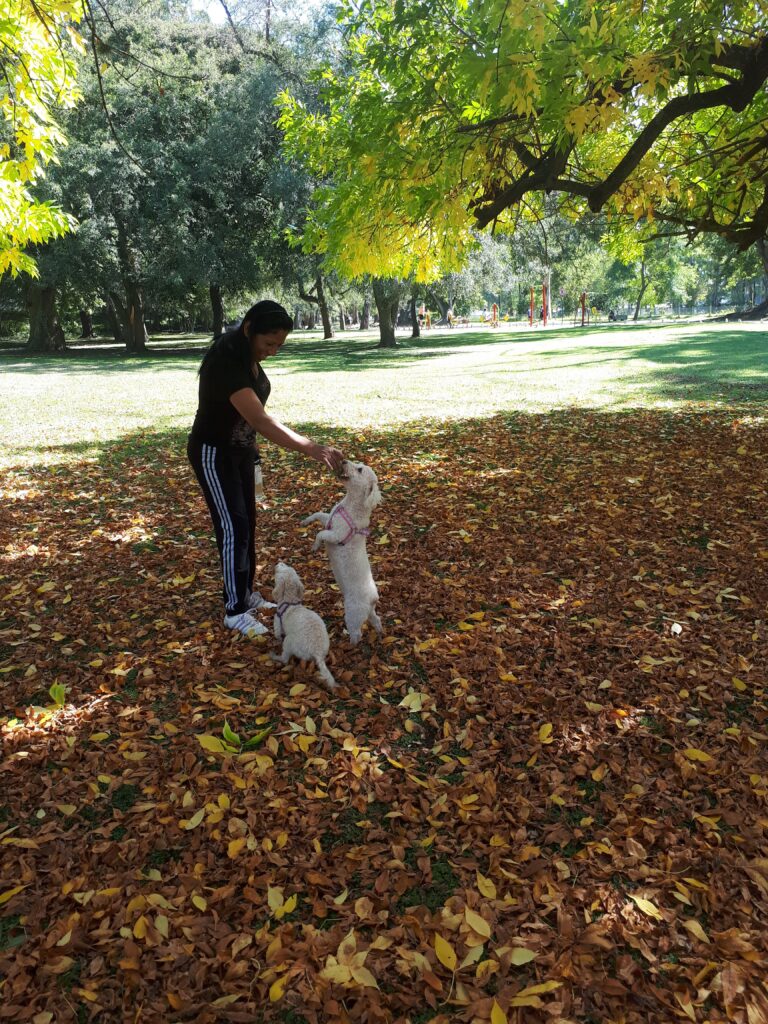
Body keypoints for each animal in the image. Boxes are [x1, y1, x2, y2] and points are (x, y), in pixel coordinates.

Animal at [274, 561, 339, 696]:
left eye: (281, 569)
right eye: (288, 567)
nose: (279, 562)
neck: (290, 602)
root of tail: (317, 651)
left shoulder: (277, 622)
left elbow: (277, 634)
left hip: (289, 642)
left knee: (285, 658)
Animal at [301, 460, 385, 643]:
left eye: (360, 469)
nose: (344, 460)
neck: (351, 505)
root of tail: (373, 598)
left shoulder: (336, 535)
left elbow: (320, 534)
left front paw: (315, 546)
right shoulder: (329, 519)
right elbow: (318, 515)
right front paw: (305, 521)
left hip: (353, 614)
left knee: (356, 633)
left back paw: (350, 644)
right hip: (368, 612)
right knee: (376, 619)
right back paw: (379, 631)